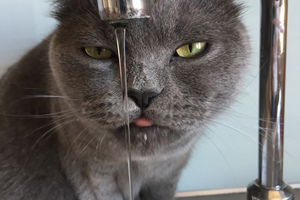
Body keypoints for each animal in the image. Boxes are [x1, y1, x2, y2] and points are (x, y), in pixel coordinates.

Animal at [0, 0, 248, 200]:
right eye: (97, 51)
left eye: (191, 49)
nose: (143, 93)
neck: (142, 166)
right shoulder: (91, 173)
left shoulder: (168, 176)